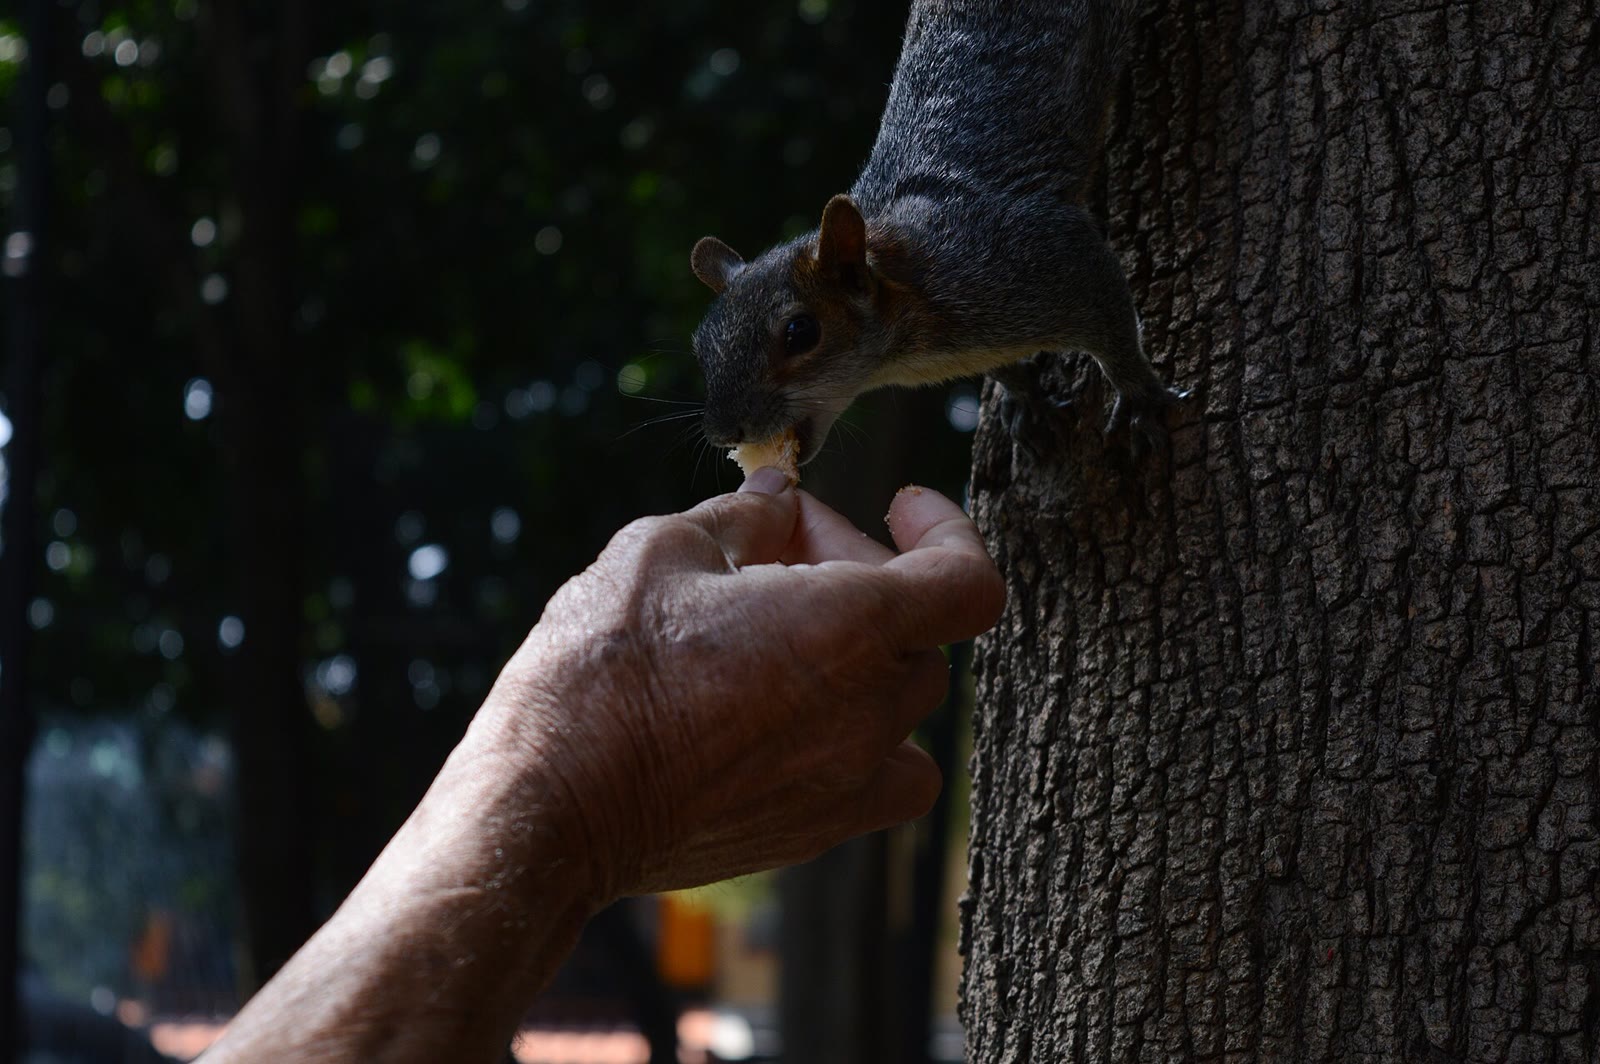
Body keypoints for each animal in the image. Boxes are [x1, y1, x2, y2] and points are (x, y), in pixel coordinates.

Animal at [688, 0, 1185, 466]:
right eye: (701, 345)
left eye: (800, 332)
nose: (725, 432)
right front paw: (1025, 396)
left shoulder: (1039, 259)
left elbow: (1112, 323)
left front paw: (1139, 397)